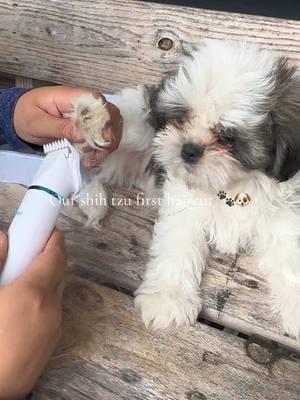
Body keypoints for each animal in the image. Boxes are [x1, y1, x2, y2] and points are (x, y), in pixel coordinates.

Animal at [71, 39, 300, 340]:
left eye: (227, 137)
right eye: (181, 119)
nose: (189, 149)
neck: (230, 184)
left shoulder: (283, 215)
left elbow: (290, 257)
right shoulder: (184, 205)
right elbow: (177, 248)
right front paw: (167, 299)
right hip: (136, 129)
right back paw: (93, 118)